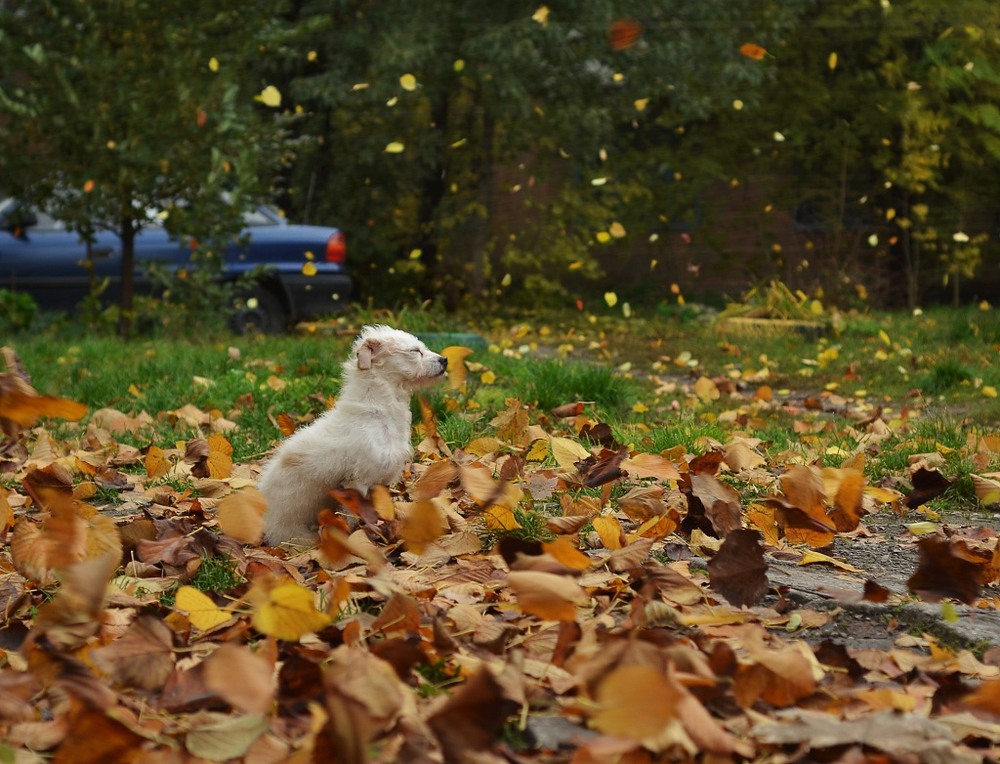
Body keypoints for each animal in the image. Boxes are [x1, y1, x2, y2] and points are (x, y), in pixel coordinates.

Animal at [258, 326, 450, 548]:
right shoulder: (357, 483)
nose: (444, 359)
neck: (379, 413)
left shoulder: (381, 481)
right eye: (414, 351)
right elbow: (353, 518)